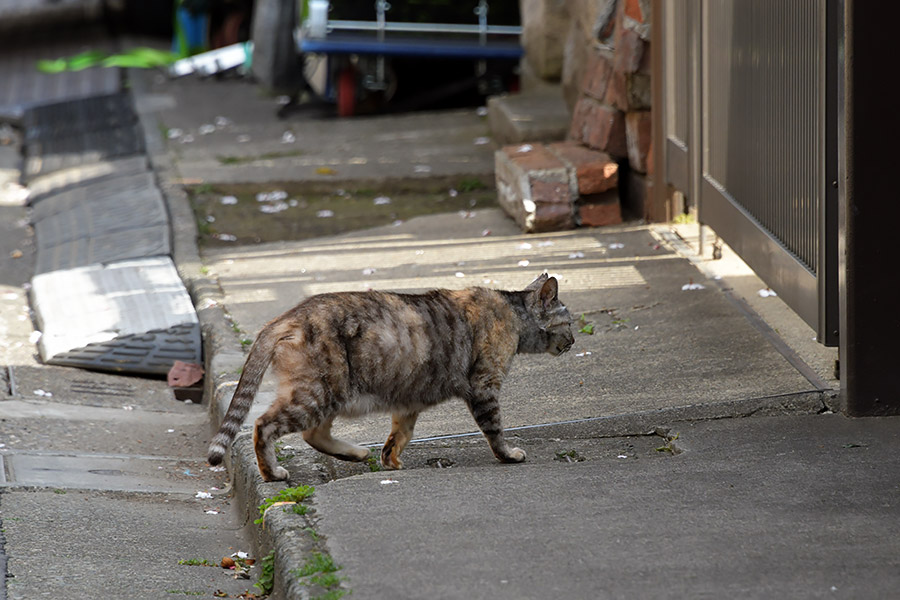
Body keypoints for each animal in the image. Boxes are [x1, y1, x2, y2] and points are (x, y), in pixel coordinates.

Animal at [208, 274, 572, 480]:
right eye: (569, 322)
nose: (573, 341)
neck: (514, 314)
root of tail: (284, 318)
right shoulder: (484, 387)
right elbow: (495, 430)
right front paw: (508, 455)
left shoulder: (409, 400)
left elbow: (401, 434)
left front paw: (391, 460)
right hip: (318, 393)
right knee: (263, 426)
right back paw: (272, 473)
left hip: (329, 394)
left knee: (314, 433)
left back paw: (356, 454)